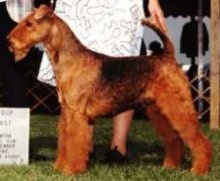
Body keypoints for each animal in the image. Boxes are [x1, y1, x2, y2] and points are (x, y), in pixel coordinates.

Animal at [7, 4, 212, 175]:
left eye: (29, 24)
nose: (9, 41)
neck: (68, 58)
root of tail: (168, 56)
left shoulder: (76, 114)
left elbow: (73, 143)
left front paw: (70, 170)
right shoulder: (68, 113)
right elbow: (65, 141)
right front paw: (60, 166)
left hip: (177, 105)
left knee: (200, 140)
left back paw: (199, 169)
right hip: (158, 109)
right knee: (174, 138)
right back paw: (171, 166)